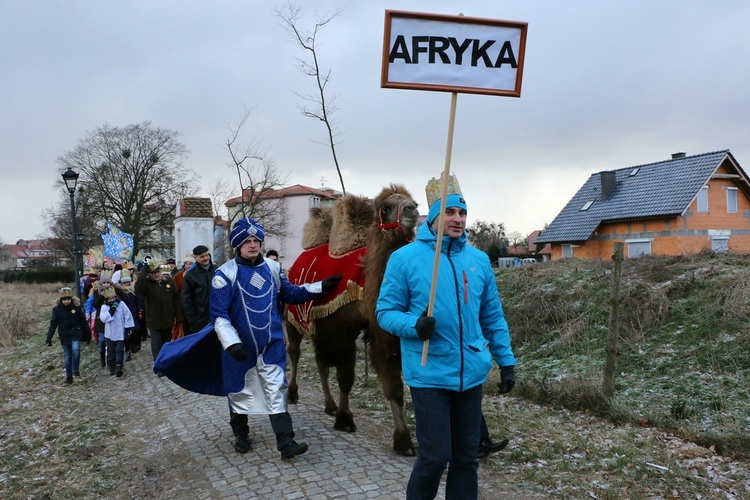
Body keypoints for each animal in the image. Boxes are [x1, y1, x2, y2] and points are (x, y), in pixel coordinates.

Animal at [284, 185, 420, 458]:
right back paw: (293, 393)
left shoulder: (378, 332)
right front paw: (346, 420)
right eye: (386, 207)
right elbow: (345, 378)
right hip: (293, 319)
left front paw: (404, 441)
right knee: (294, 352)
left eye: (413, 201)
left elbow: (394, 386)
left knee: (320, 363)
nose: (413, 210)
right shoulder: (341, 329)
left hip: (317, 324)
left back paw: (329, 405)